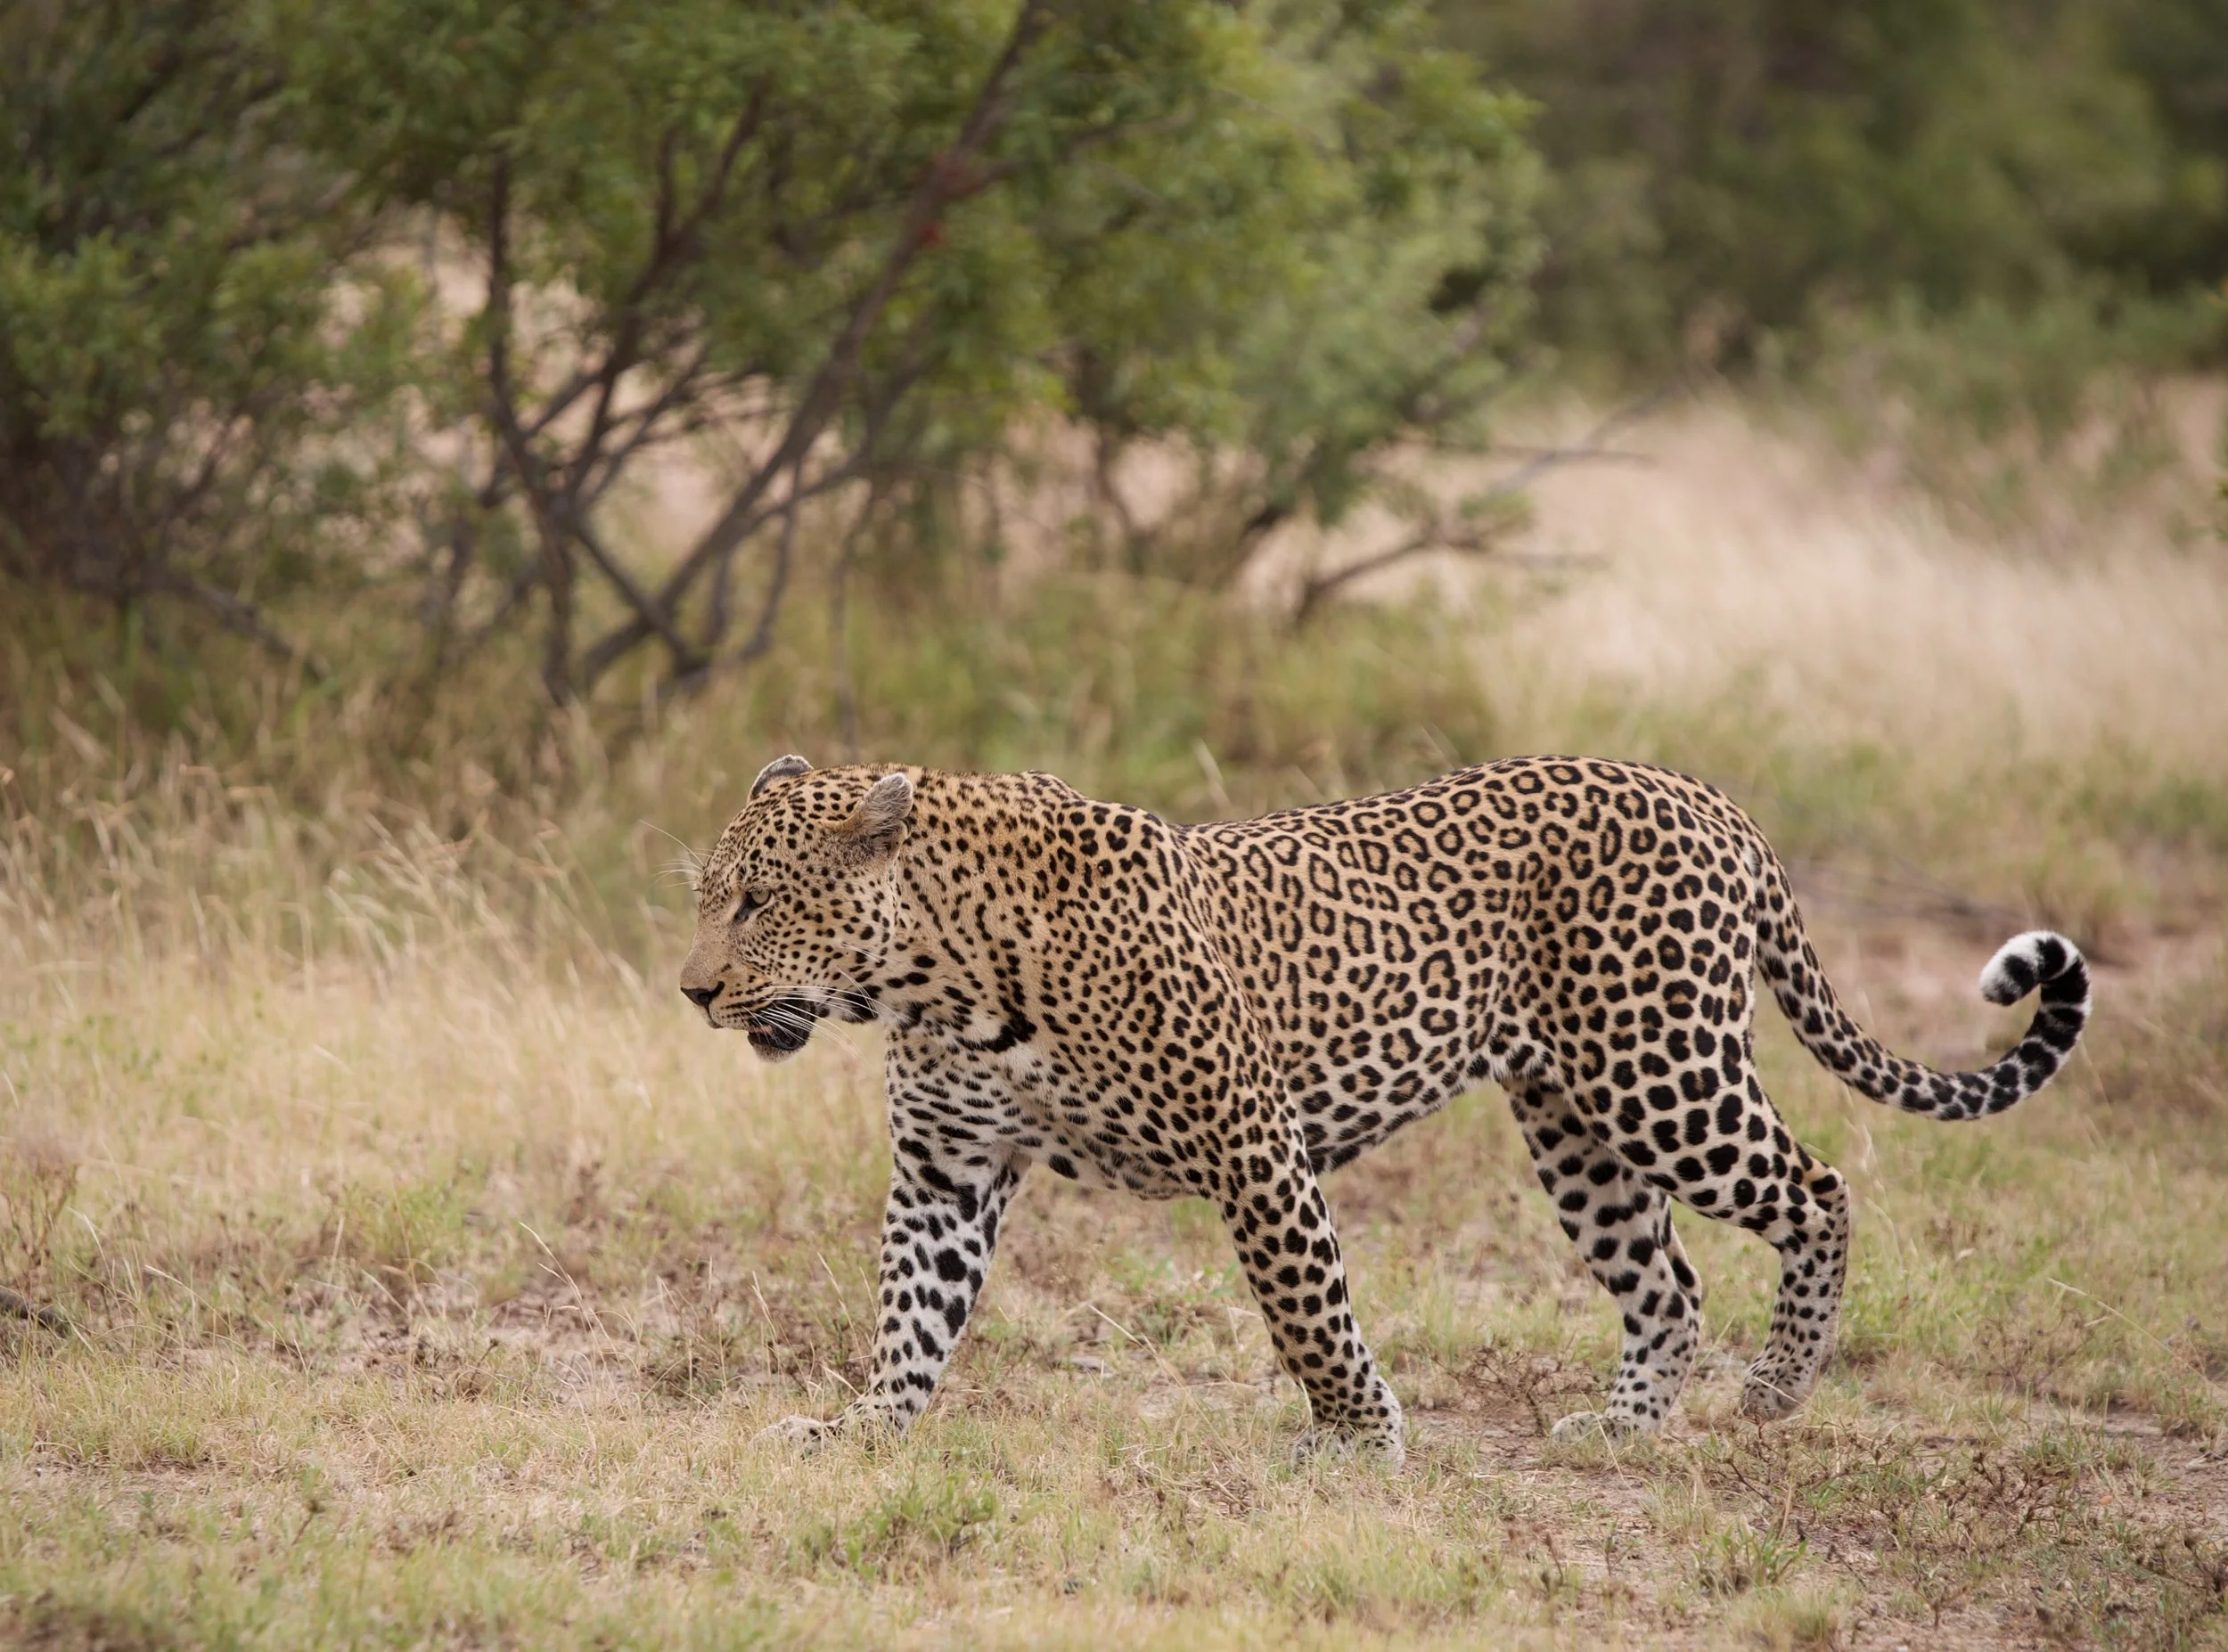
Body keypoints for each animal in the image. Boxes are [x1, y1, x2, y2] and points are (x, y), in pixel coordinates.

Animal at [678, 754, 2090, 1466]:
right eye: (708, 895)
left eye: (755, 900)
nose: (693, 990)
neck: (938, 972)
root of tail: (1709, 796)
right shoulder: (948, 1169)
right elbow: (909, 1318)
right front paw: (861, 1428)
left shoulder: (1253, 1145)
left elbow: (1307, 1309)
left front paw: (1363, 1436)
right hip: (1572, 1121)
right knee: (1669, 1282)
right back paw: (1624, 1429)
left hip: (1660, 1071)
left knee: (1819, 1190)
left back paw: (1777, 1390)